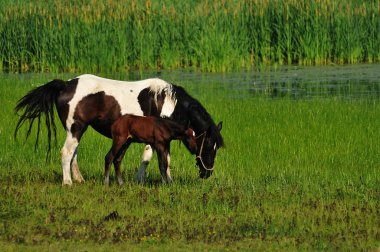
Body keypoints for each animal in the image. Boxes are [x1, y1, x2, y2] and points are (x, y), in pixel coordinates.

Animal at [14, 74, 223, 184]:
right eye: (208, 146)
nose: (207, 173)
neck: (166, 101)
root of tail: (65, 85)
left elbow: (165, 159)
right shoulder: (154, 138)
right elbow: (149, 157)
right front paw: (141, 180)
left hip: (77, 130)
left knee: (74, 154)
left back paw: (80, 180)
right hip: (75, 128)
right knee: (66, 152)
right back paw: (68, 183)